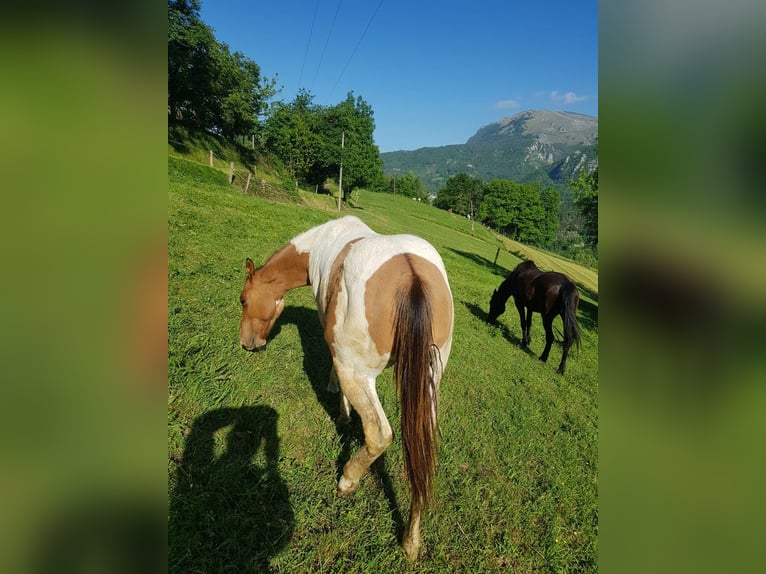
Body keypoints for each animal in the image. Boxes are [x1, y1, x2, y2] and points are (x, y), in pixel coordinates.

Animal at [239, 215, 454, 561]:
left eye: (243, 300)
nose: (247, 343)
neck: (320, 244)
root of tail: (413, 279)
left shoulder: (339, 351)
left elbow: (335, 376)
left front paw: (340, 410)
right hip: (428, 388)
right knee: (420, 452)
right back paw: (411, 540)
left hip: (358, 372)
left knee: (380, 435)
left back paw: (348, 480)